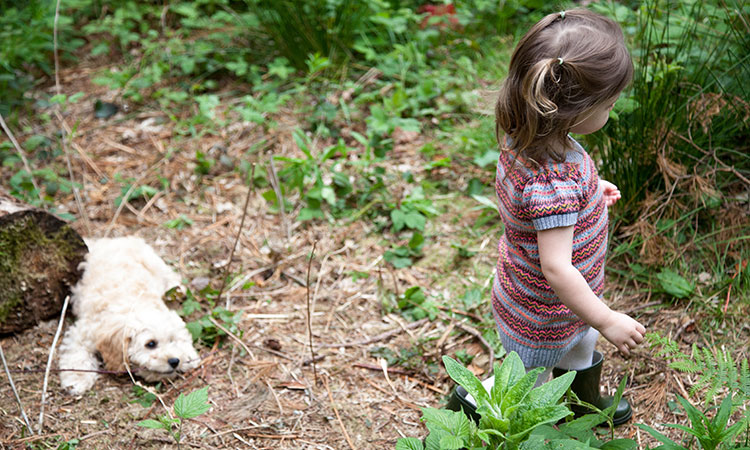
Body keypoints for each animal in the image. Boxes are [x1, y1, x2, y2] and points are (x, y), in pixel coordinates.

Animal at [59, 236, 201, 394]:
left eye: (171, 340)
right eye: (151, 344)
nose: (174, 361)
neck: (133, 304)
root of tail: (116, 239)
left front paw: (188, 354)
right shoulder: (83, 333)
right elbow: (76, 354)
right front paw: (76, 379)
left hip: (155, 263)